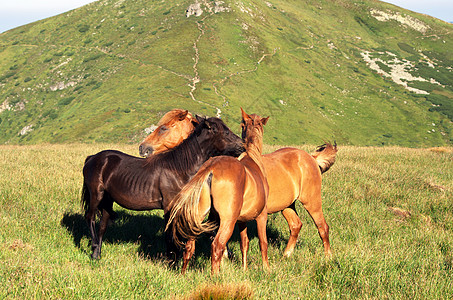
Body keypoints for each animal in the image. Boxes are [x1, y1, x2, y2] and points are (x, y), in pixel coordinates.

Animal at [81, 116, 244, 260]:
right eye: (226, 132)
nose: (242, 146)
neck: (180, 169)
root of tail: (92, 158)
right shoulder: (169, 208)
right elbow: (170, 237)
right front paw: (171, 261)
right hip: (96, 195)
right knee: (90, 218)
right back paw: (94, 248)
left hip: (107, 201)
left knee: (102, 226)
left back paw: (97, 254)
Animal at [168, 109, 270, 276]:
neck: (252, 159)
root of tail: (211, 167)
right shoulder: (261, 215)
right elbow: (263, 242)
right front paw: (266, 269)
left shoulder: (241, 221)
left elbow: (244, 243)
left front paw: (244, 269)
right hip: (228, 221)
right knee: (217, 246)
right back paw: (215, 277)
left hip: (200, 215)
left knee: (189, 247)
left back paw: (184, 273)